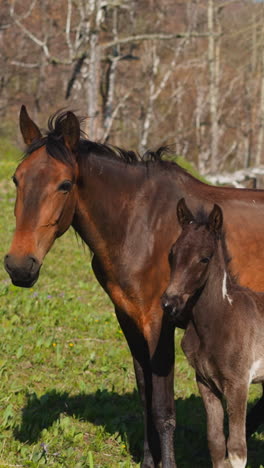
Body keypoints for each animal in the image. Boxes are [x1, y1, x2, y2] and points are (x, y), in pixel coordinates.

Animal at [161, 197, 264, 468]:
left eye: (205, 258)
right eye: (171, 253)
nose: (169, 303)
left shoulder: (238, 384)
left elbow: (237, 449)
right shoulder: (205, 382)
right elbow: (216, 443)